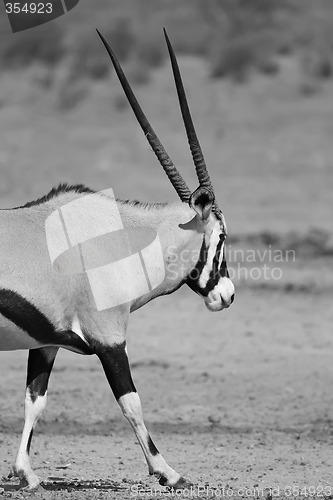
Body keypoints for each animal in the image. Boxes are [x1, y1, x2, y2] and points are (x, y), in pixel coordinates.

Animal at [0, 31, 233, 492]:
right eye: (222, 237)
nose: (228, 295)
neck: (120, 237)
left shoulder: (46, 343)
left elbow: (35, 399)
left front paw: (27, 474)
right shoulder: (110, 340)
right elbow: (132, 403)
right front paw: (168, 472)